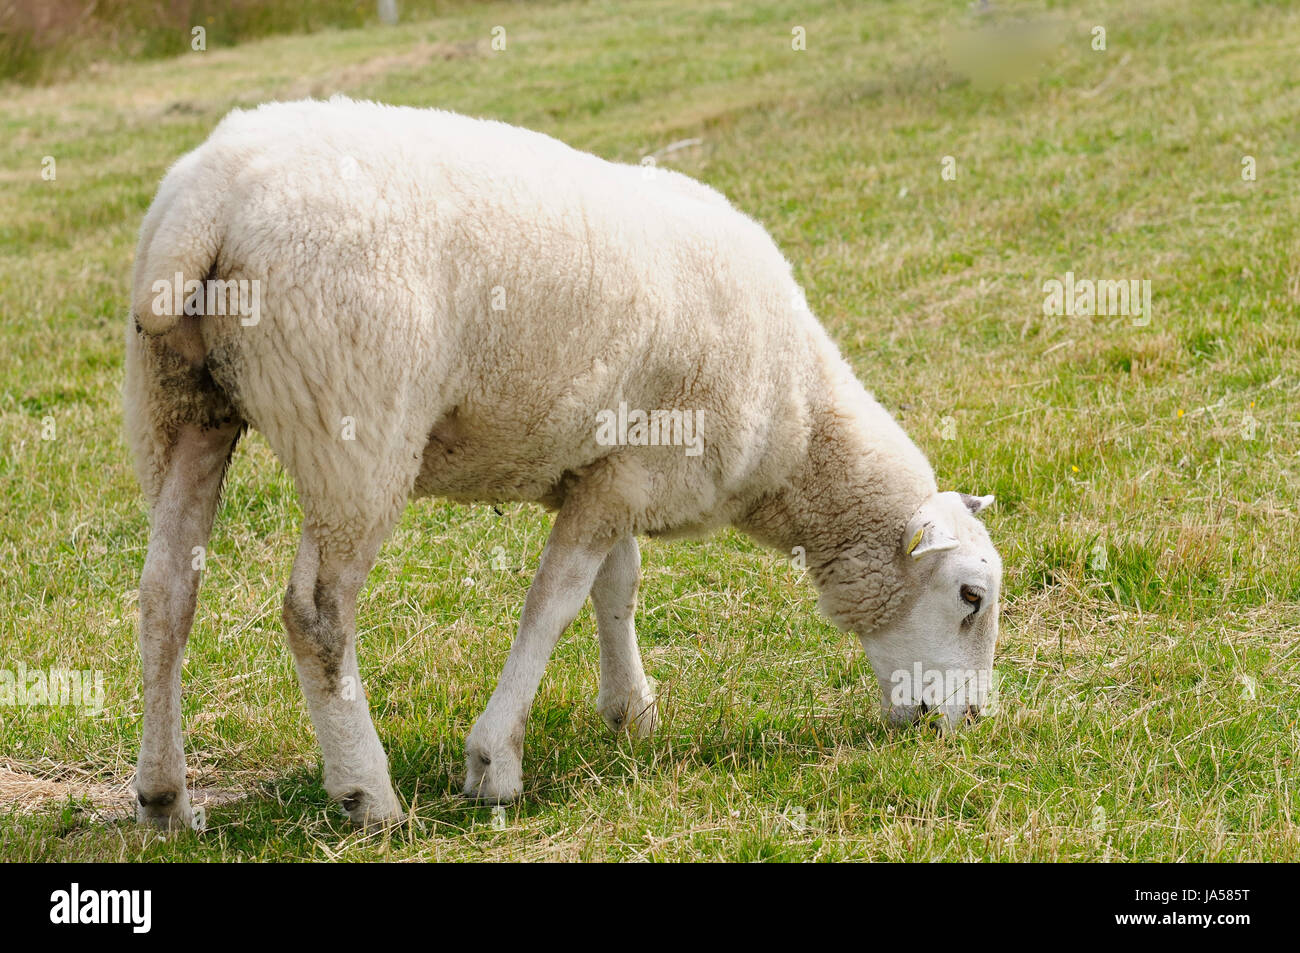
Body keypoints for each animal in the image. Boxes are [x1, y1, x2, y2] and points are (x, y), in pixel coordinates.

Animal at [126, 94, 1003, 826]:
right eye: (970, 596)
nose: (972, 721)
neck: (801, 428)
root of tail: (210, 200)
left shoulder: (608, 467)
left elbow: (615, 586)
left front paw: (630, 709)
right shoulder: (633, 471)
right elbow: (552, 603)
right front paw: (494, 763)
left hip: (182, 407)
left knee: (167, 592)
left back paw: (166, 797)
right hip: (357, 429)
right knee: (316, 611)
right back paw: (367, 793)